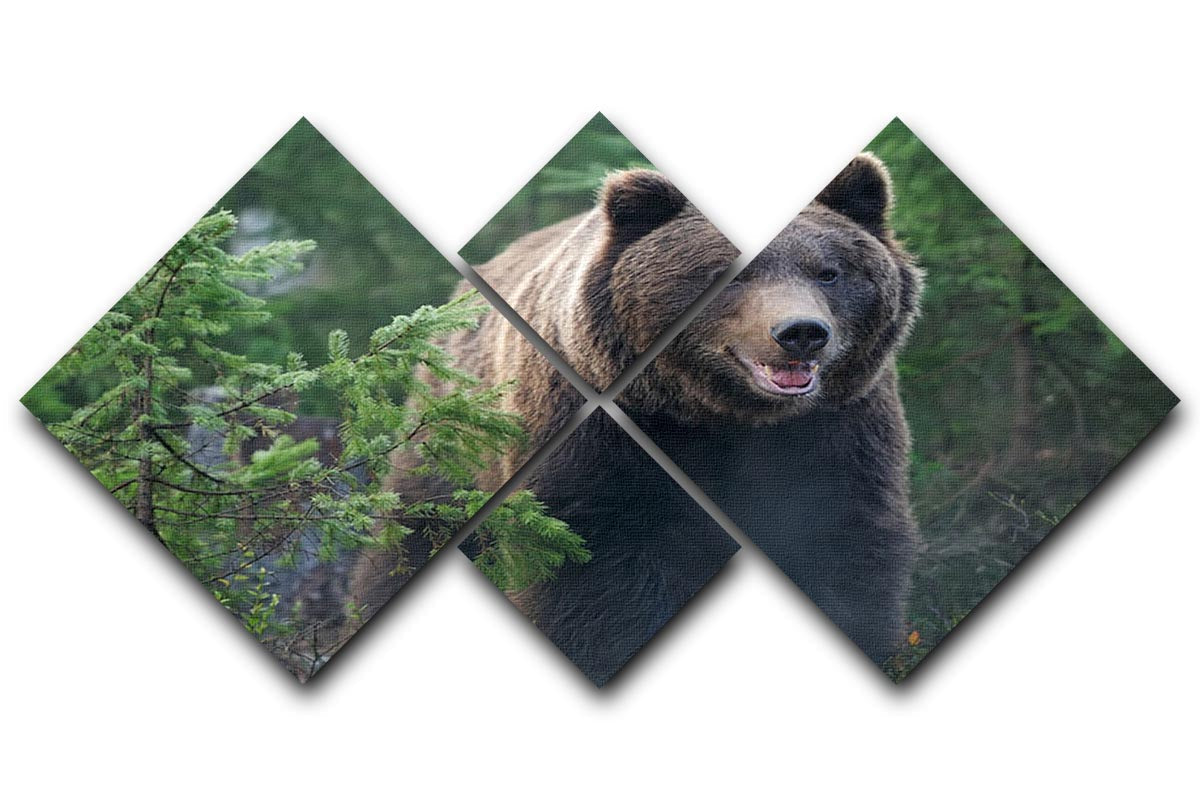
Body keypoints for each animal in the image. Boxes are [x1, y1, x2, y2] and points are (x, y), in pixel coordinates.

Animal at [617, 153, 923, 664]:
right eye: (732, 276)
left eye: (828, 272)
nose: (801, 331)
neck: (737, 417)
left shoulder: (841, 431)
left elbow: (846, 547)